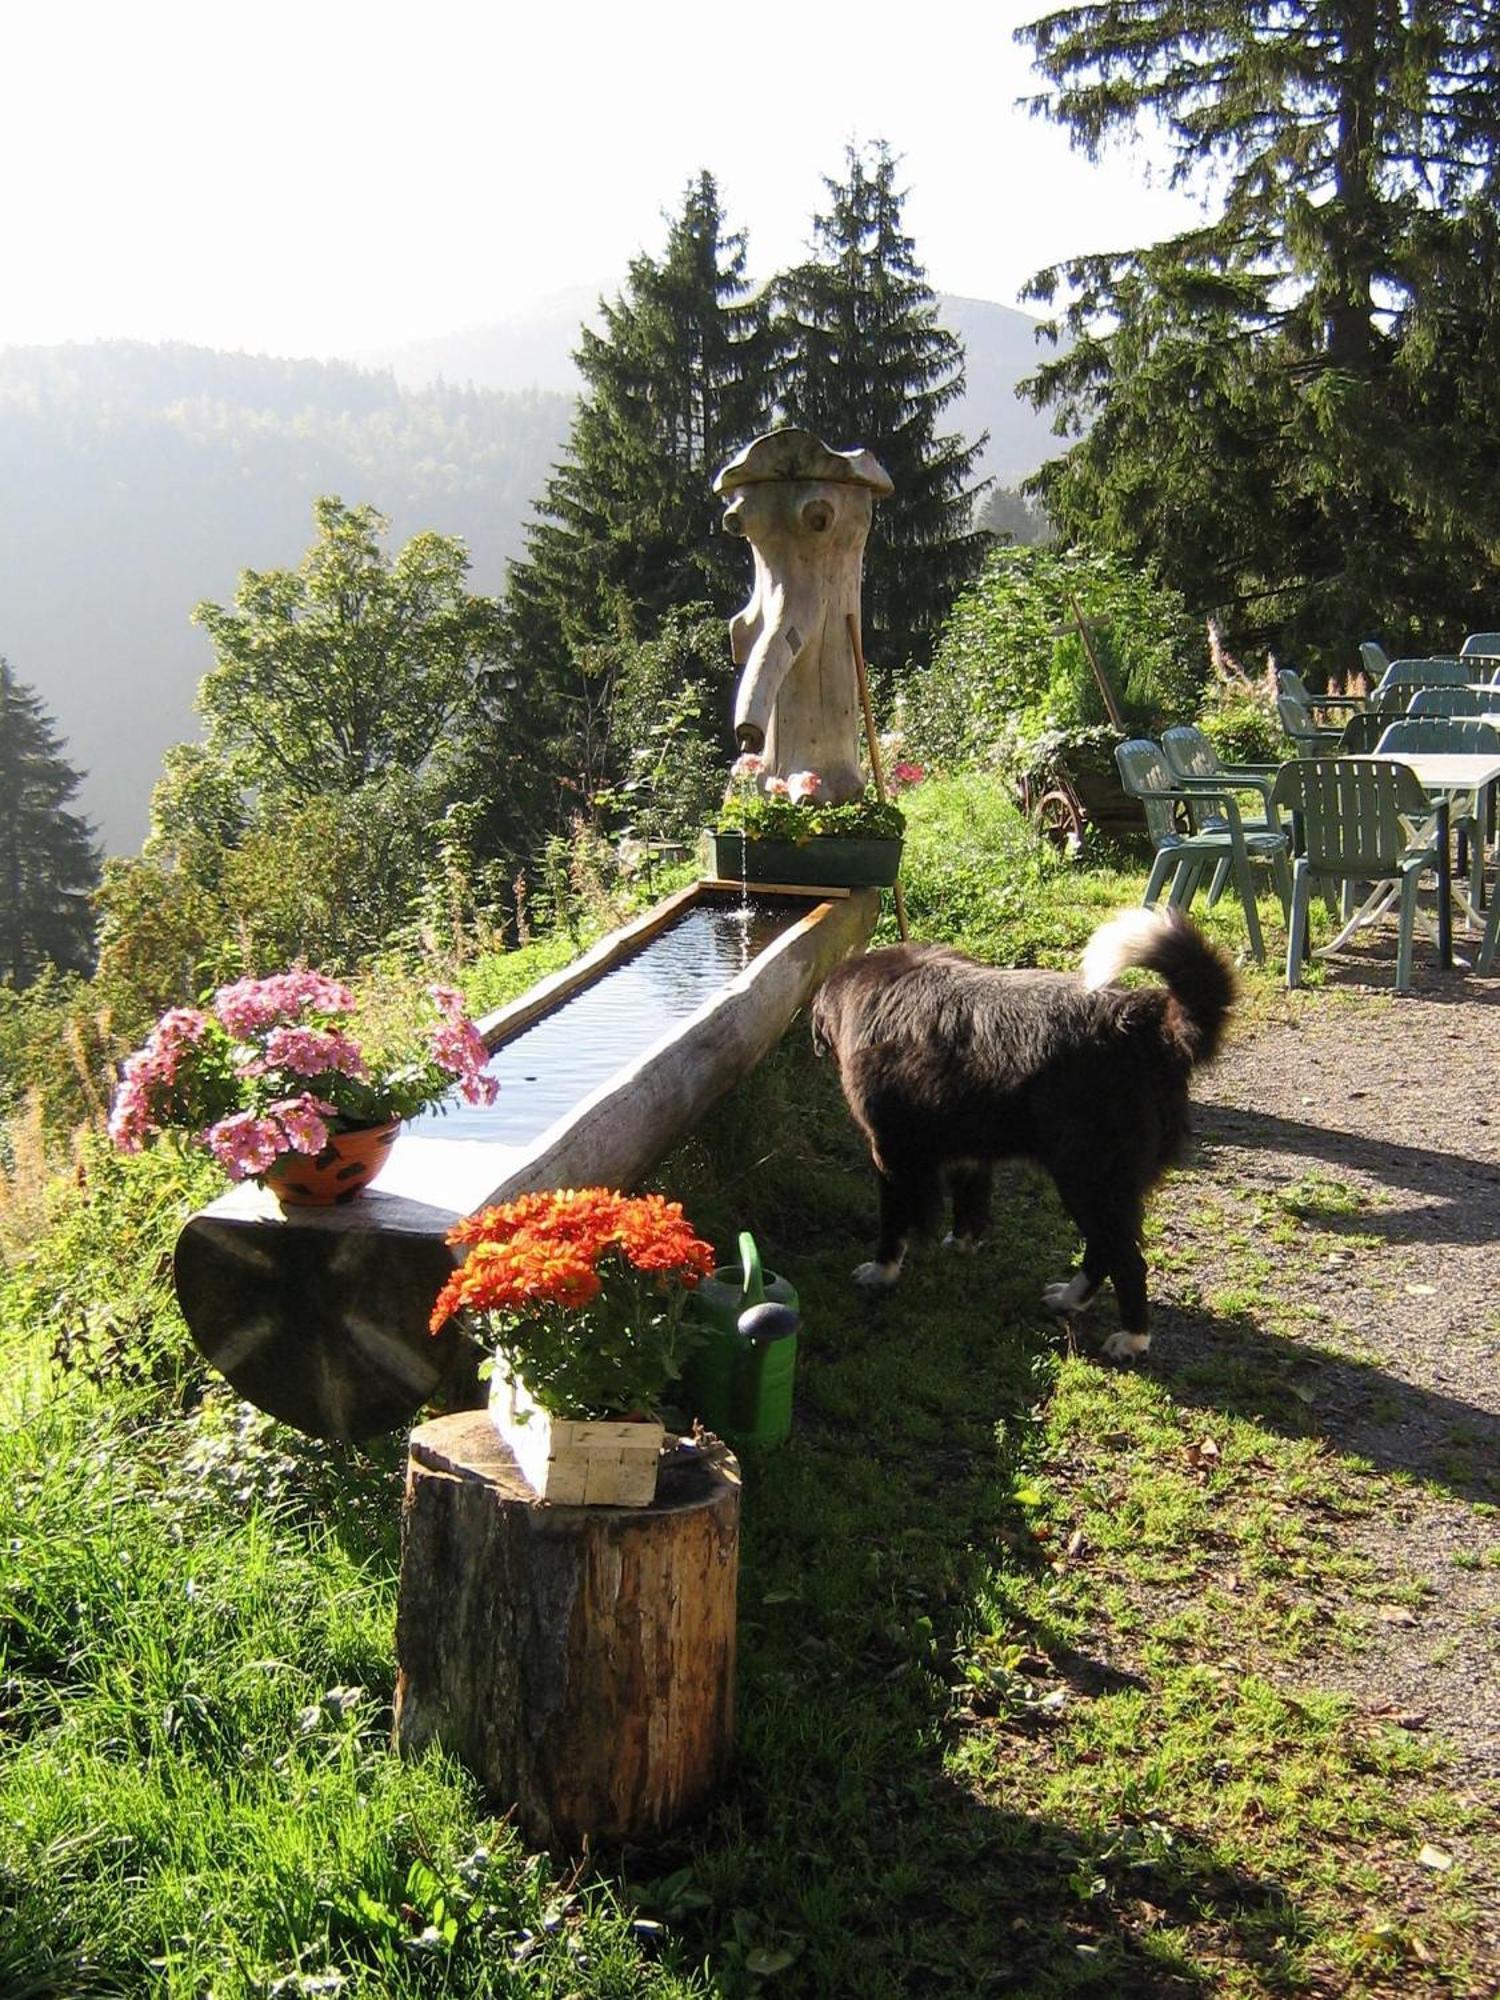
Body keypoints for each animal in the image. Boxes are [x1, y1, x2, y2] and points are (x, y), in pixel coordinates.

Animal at [816, 912, 1240, 1360]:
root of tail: (1144, 1023)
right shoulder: (969, 1151)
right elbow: (970, 1203)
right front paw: (962, 1244)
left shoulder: (892, 1155)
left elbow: (894, 1223)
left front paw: (881, 1272)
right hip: (1101, 1186)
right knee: (1104, 1250)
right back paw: (1070, 1299)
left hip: (1087, 1180)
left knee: (1126, 1260)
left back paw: (1131, 1338)